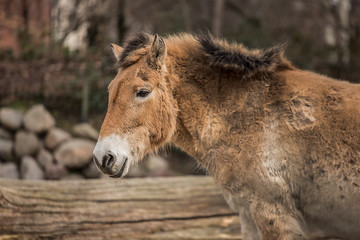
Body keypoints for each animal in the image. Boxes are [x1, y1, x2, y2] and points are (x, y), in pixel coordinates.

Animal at [93, 32, 360, 239]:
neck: (249, 117)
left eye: (142, 92)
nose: (102, 157)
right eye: (110, 91)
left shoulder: (273, 213)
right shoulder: (249, 214)